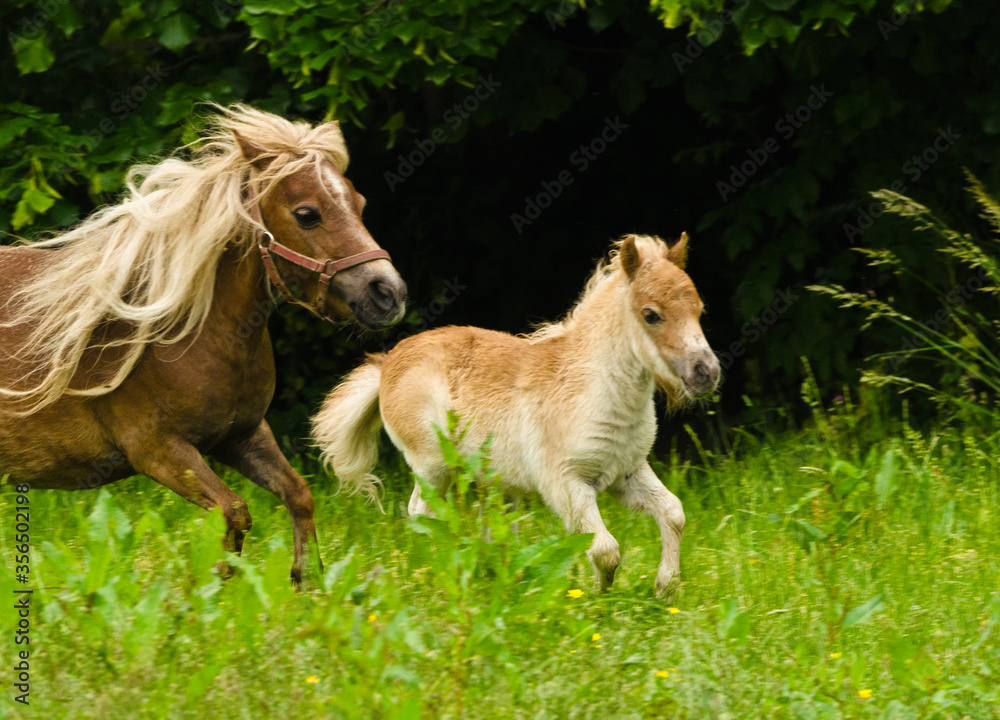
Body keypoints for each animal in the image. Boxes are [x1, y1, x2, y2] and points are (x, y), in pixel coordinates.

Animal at [0, 103, 407, 583]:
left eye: (359, 204)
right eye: (307, 213)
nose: (388, 293)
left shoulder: (243, 435)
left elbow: (298, 495)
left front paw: (304, 581)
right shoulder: (159, 451)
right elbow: (234, 513)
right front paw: (213, 586)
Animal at [312, 233, 719, 597]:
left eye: (700, 309)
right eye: (651, 315)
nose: (706, 372)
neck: (591, 389)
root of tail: (387, 363)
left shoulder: (627, 473)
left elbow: (673, 513)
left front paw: (665, 587)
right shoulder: (566, 483)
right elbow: (605, 549)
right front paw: (598, 597)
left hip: (495, 483)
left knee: (493, 526)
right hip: (433, 469)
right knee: (423, 514)